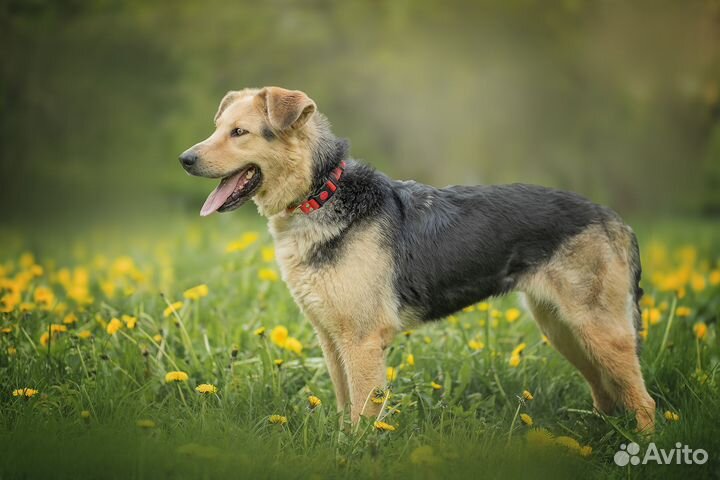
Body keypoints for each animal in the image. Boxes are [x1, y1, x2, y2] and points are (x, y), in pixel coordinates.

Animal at [181, 87, 660, 436]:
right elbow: (345, 409)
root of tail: (617, 220)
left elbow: (361, 415)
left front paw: (356, 454)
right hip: (563, 330)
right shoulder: (333, 342)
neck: (321, 194)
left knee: (642, 400)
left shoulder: (361, 343)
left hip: (598, 331)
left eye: (239, 132)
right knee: (607, 393)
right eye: (217, 128)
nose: (185, 159)